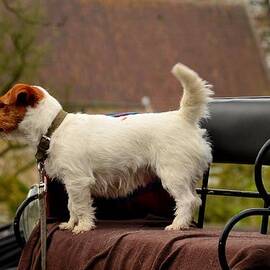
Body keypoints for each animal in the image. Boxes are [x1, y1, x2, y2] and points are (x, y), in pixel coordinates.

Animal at [0, 62, 213, 232]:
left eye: (2, 105)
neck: (53, 128)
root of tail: (183, 117)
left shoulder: (78, 181)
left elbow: (81, 206)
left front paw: (83, 227)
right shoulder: (72, 182)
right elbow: (71, 205)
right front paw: (70, 224)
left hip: (173, 174)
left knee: (187, 200)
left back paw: (177, 225)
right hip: (187, 176)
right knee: (196, 199)